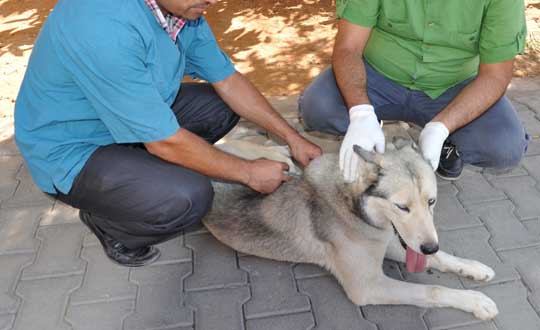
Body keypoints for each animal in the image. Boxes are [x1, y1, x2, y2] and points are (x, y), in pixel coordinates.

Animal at [206, 139, 498, 320]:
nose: (429, 246)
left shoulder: (389, 242)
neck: (353, 205)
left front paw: (472, 267)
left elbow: (441, 258)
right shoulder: (367, 286)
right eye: (402, 207)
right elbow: (432, 290)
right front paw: (476, 301)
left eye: (431, 201)